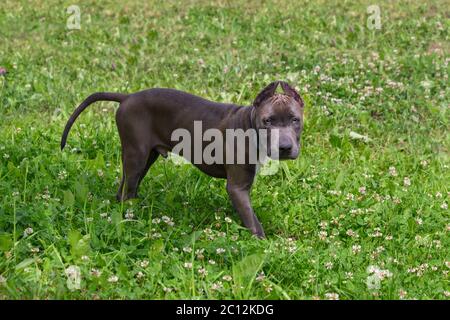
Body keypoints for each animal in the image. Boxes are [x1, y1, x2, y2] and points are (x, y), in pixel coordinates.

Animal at [61, 82, 304, 238]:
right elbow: (252, 222)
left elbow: (252, 216)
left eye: (295, 120)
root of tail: (127, 97)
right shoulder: (237, 187)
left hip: (144, 157)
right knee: (127, 191)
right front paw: (262, 245)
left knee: (124, 189)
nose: (284, 147)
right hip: (137, 155)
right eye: (267, 121)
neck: (249, 126)